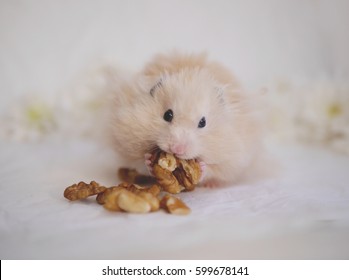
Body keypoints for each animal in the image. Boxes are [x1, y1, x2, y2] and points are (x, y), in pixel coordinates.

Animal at [110, 51, 262, 187]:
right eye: (167, 115)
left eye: (203, 122)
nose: (177, 149)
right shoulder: (125, 139)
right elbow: (139, 161)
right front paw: (148, 160)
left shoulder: (235, 158)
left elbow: (214, 169)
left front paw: (202, 167)